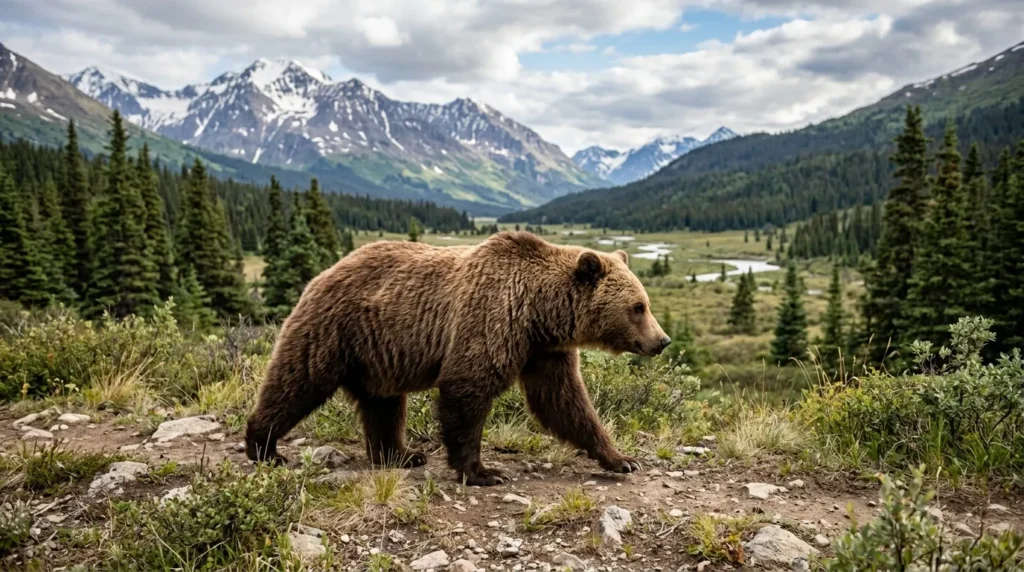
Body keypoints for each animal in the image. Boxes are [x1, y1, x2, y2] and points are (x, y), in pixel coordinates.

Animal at [245, 230, 671, 486]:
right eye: (638, 307)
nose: (662, 340)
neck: (538, 312)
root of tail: (323, 272)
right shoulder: (490, 318)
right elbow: (467, 389)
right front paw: (482, 471)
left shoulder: (544, 350)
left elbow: (564, 402)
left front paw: (621, 458)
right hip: (334, 330)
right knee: (297, 381)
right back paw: (264, 447)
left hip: (377, 352)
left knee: (383, 404)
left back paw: (402, 454)